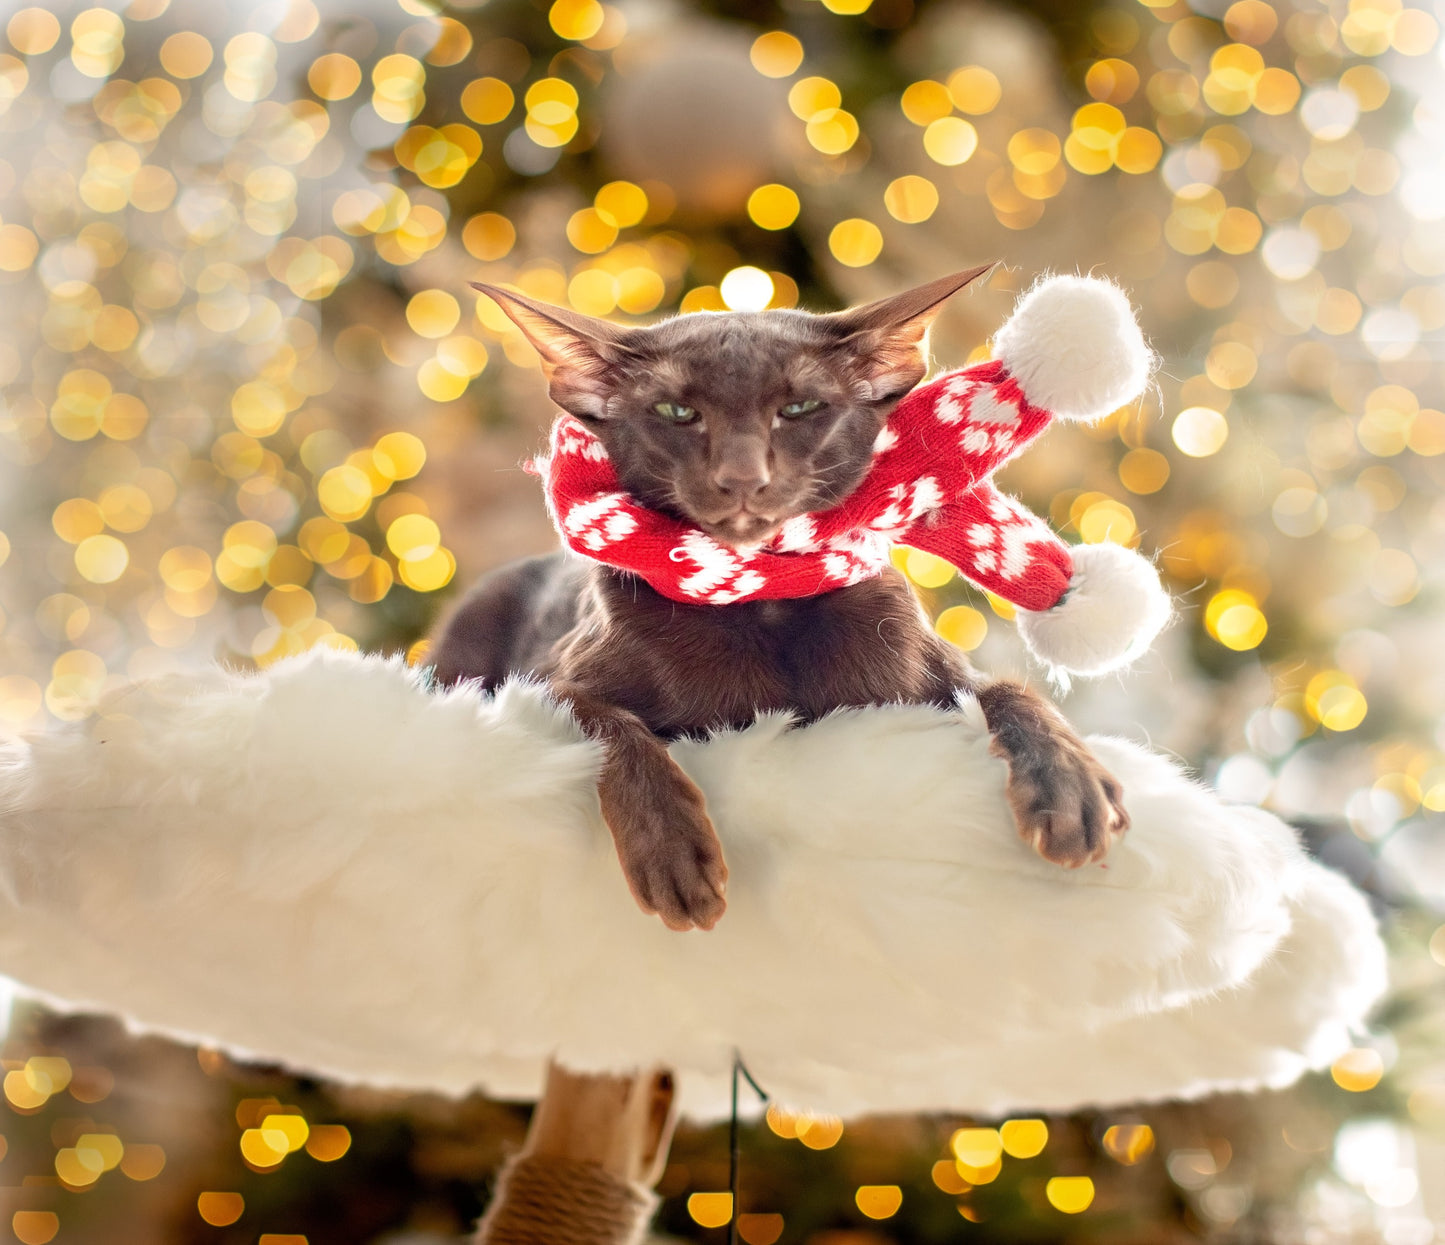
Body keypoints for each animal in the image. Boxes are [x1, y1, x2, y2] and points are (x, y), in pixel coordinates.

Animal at [427, 268, 1127, 930]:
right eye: (676, 413)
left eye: (800, 407)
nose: (742, 478)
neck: (760, 598)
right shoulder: (543, 683)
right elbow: (609, 722)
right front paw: (673, 854)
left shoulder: (929, 687)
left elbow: (1010, 688)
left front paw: (1070, 786)